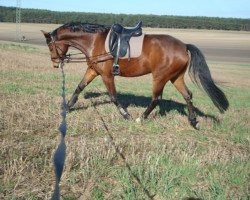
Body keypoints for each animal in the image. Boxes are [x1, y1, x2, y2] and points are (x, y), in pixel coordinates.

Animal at [41, 21, 229, 128]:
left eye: (50, 46)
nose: (55, 64)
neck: (94, 41)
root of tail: (184, 46)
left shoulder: (107, 75)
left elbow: (113, 96)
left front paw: (126, 115)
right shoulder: (93, 71)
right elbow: (79, 87)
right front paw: (67, 107)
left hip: (160, 77)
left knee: (156, 99)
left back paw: (141, 118)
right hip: (175, 78)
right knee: (188, 95)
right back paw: (193, 121)